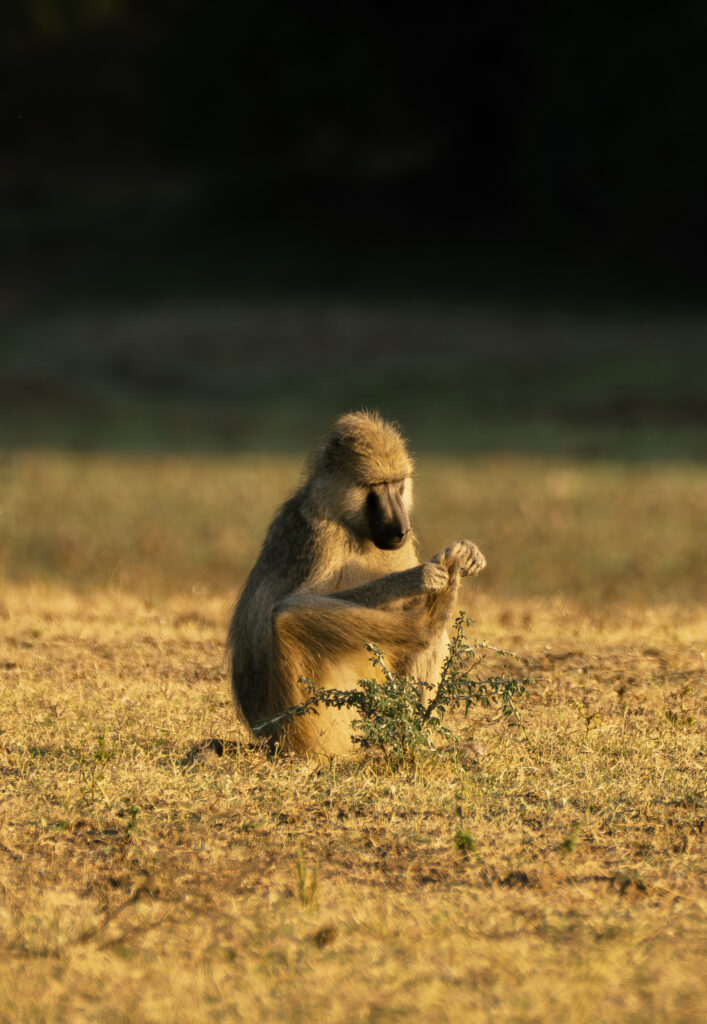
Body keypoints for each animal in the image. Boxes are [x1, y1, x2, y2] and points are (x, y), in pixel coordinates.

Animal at [227, 411, 486, 756]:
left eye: (396, 484)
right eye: (375, 486)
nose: (401, 529)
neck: (349, 522)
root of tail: (269, 741)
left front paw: (467, 552)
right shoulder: (320, 536)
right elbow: (304, 598)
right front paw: (418, 577)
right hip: (315, 720)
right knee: (288, 615)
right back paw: (429, 620)